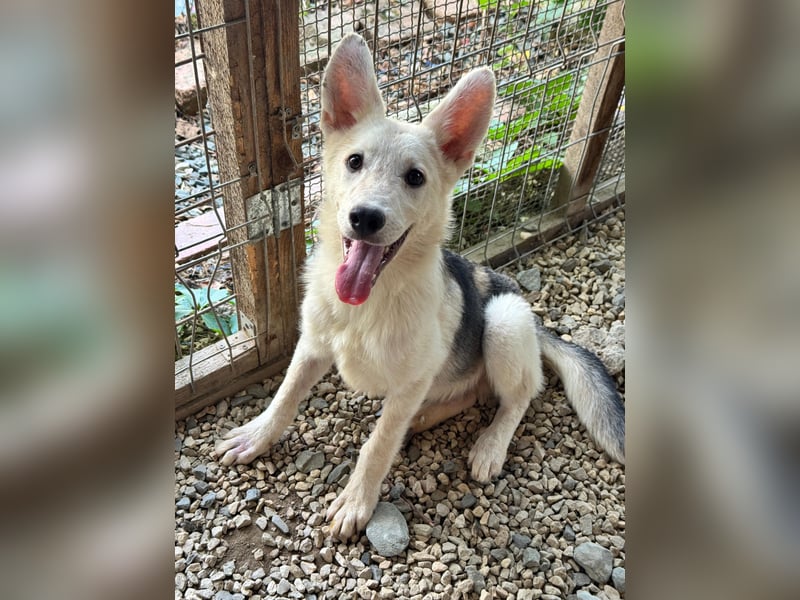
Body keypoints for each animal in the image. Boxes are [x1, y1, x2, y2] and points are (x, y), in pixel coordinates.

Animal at [215, 33, 625, 539]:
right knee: (472, 392)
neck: (370, 303)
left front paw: (357, 500)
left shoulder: (410, 382)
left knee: (520, 396)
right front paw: (259, 434)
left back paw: (490, 444)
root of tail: (537, 325)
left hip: (503, 322)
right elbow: (286, 395)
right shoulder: (312, 346)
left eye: (415, 177)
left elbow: (377, 444)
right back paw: (428, 416)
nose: (365, 218)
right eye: (354, 162)